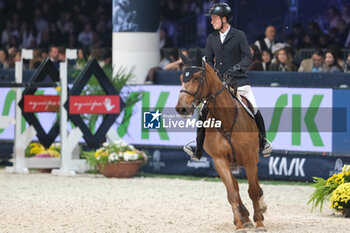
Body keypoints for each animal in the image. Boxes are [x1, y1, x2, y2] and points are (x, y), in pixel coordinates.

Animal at [176, 52, 266, 232]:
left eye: (196, 77)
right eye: (182, 77)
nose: (181, 108)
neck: (226, 120)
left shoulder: (250, 159)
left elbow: (253, 190)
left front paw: (259, 222)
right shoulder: (220, 161)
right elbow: (232, 193)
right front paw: (239, 225)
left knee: (255, 187)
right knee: (236, 187)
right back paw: (245, 217)